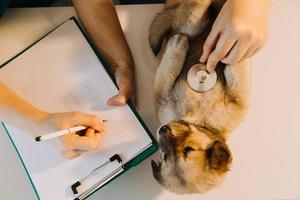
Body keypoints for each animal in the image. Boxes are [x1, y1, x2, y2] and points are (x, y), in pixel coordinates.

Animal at [149, 0, 251, 194]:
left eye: (188, 150)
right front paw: (177, 44)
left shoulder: (237, 102)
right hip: (193, 21)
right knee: (192, 19)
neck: (199, 120)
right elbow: (170, 64)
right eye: (166, 156)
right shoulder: (162, 96)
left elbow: (234, 68)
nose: (163, 130)